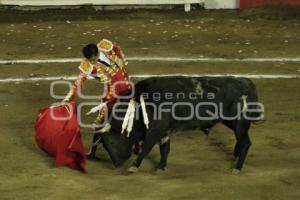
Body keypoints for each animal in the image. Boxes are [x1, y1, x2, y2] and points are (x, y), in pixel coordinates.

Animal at [97, 76, 262, 173]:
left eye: (111, 142)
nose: (117, 164)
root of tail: (246, 82)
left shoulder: (155, 130)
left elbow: (146, 148)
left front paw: (134, 166)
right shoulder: (164, 131)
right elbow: (164, 149)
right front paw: (160, 167)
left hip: (240, 123)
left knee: (246, 142)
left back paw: (237, 167)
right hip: (231, 122)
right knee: (242, 141)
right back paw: (236, 157)